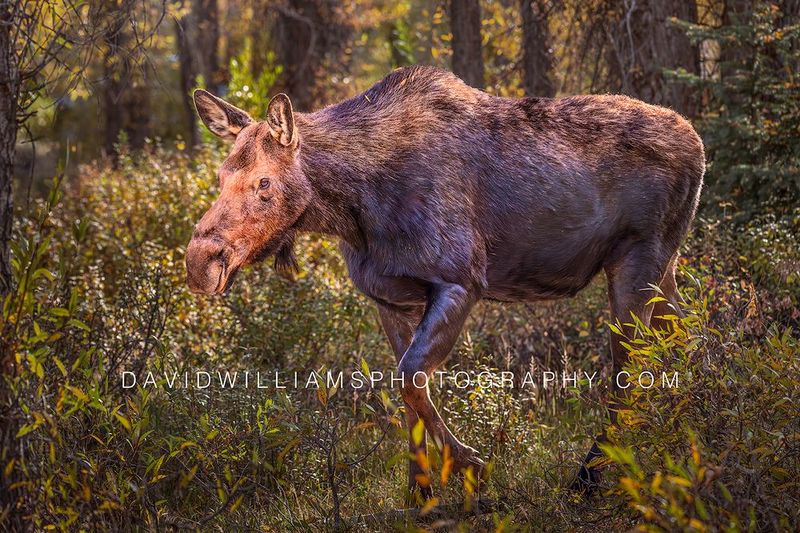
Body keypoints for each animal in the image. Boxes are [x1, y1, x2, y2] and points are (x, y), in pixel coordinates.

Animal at [185, 65, 704, 499]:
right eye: (220, 176)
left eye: (265, 182)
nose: (199, 262)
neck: (353, 210)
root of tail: (699, 146)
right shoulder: (389, 300)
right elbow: (406, 398)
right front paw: (421, 494)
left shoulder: (459, 281)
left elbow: (412, 382)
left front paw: (471, 465)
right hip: (664, 267)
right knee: (689, 335)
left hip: (638, 258)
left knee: (630, 367)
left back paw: (593, 474)